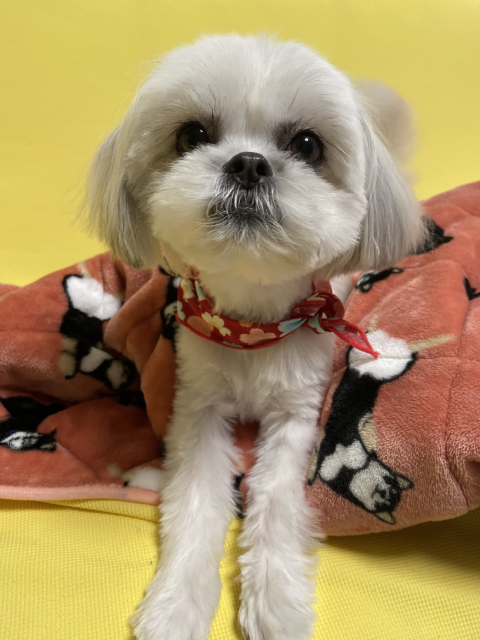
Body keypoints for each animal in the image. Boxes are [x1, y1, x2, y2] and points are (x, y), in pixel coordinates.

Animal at [86, 34, 424, 640]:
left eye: (308, 144)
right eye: (192, 135)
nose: (248, 163)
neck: (253, 327)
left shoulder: (297, 413)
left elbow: (273, 493)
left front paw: (277, 600)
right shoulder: (196, 408)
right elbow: (197, 501)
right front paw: (175, 605)